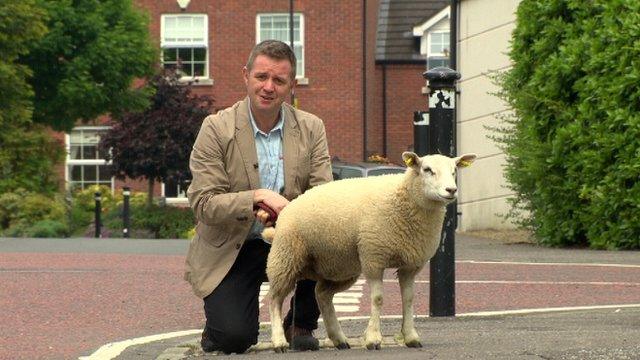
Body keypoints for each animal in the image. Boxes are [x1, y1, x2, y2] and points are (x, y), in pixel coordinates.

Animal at [260, 151, 476, 352]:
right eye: (427, 169)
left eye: (454, 171)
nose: (451, 190)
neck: (404, 198)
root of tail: (288, 207)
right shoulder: (373, 257)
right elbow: (378, 299)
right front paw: (373, 339)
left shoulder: (410, 264)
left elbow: (408, 299)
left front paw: (411, 337)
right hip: (285, 257)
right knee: (275, 299)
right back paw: (279, 341)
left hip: (339, 265)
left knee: (322, 294)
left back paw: (339, 338)